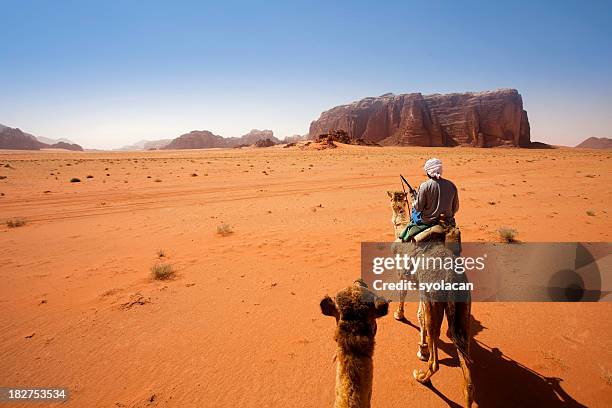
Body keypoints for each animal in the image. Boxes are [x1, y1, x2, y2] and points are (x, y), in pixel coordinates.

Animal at [388, 191, 474, 408]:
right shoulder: (422, 291)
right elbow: (419, 316)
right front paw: (422, 346)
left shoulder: (404, 275)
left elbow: (405, 299)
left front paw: (399, 315)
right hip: (463, 310)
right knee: (467, 368)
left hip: (435, 304)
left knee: (435, 361)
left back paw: (421, 377)